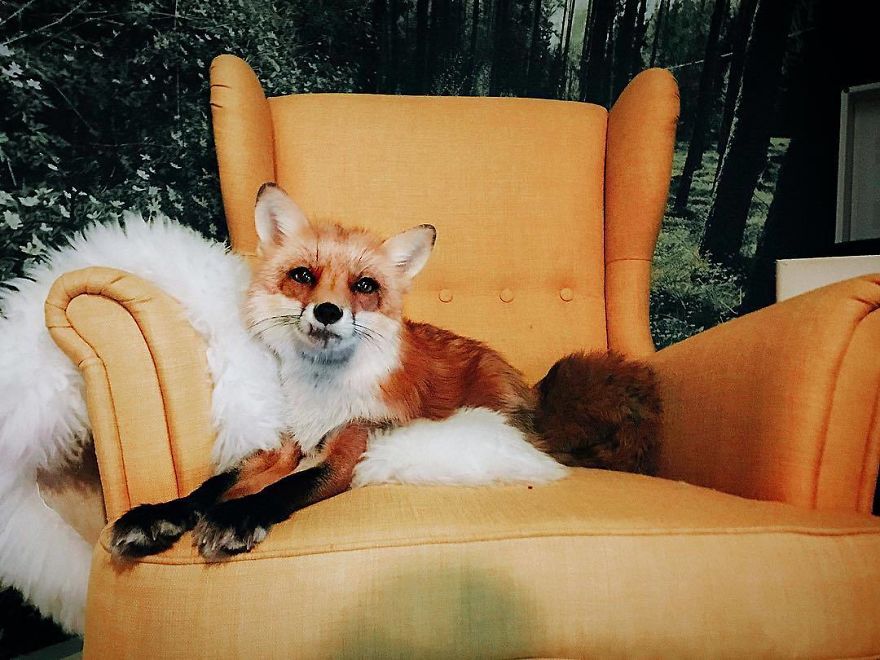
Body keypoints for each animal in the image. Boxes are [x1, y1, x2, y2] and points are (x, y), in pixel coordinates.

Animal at [110, 183, 661, 560]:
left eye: (364, 286)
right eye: (303, 276)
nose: (327, 312)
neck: (320, 394)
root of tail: (533, 393)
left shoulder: (350, 449)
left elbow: (280, 490)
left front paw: (238, 518)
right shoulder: (282, 446)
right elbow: (210, 488)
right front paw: (161, 515)